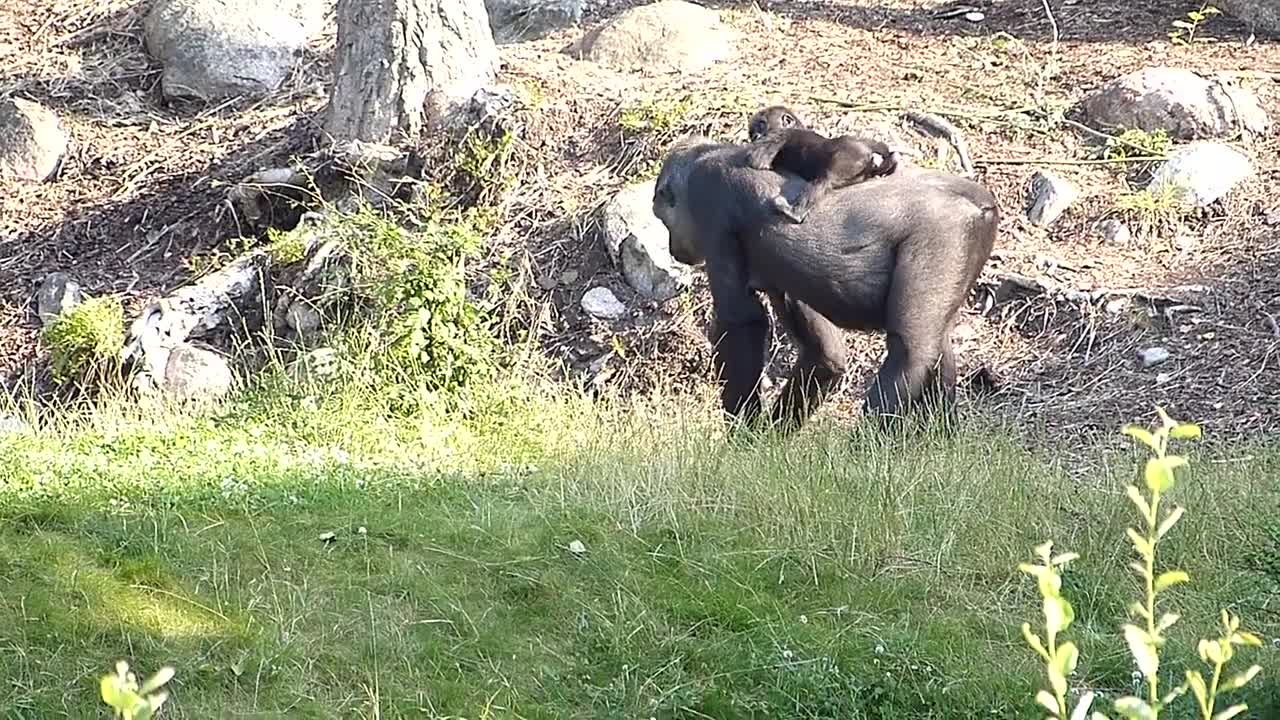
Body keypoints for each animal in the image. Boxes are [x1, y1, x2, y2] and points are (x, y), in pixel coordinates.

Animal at [650, 133, 998, 430]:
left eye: (664, 221)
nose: (673, 248)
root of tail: (978, 196)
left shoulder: (710, 198)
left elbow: (740, 321)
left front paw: (743, 440)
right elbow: (825, 354)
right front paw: (768, 442)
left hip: (944, 230)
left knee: (910, 350)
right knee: (937, 347)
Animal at [747, 105, 896, 222]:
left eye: (762, 124)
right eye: (752, 132)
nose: (755, 136)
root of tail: (867, 153)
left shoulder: (780, 133)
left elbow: (756, 159)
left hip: (850, 157)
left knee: (825, 178)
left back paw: (793, 213)